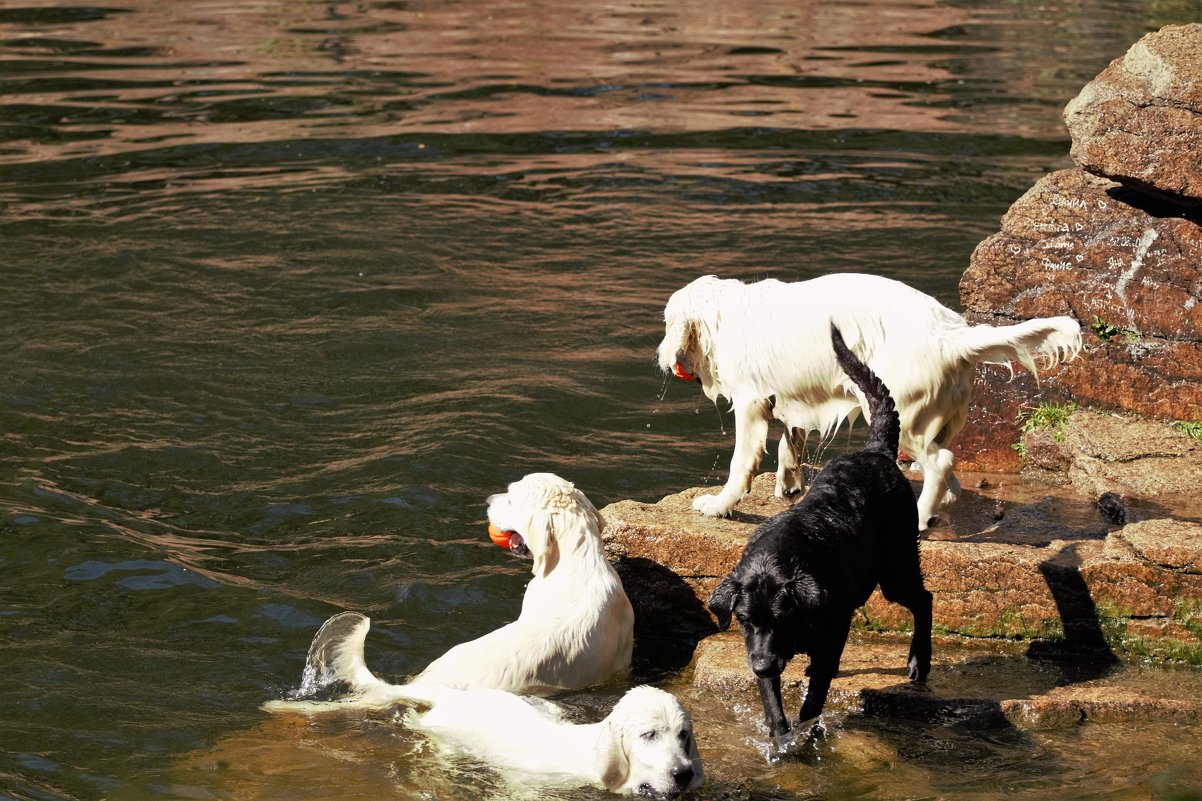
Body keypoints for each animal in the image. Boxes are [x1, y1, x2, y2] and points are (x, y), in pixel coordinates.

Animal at [658, 271, 1081, 526]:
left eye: (665, 323)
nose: (660, 356)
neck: (725, 315)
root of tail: (952, 336)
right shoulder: (794, 397)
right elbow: (791, 441)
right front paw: (789, 483)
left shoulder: (750, 402)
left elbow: (741, 461)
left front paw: (718, 504)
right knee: (950, 475)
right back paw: (937, 508)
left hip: (901, 412)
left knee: (941, 462)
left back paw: (921, 515)